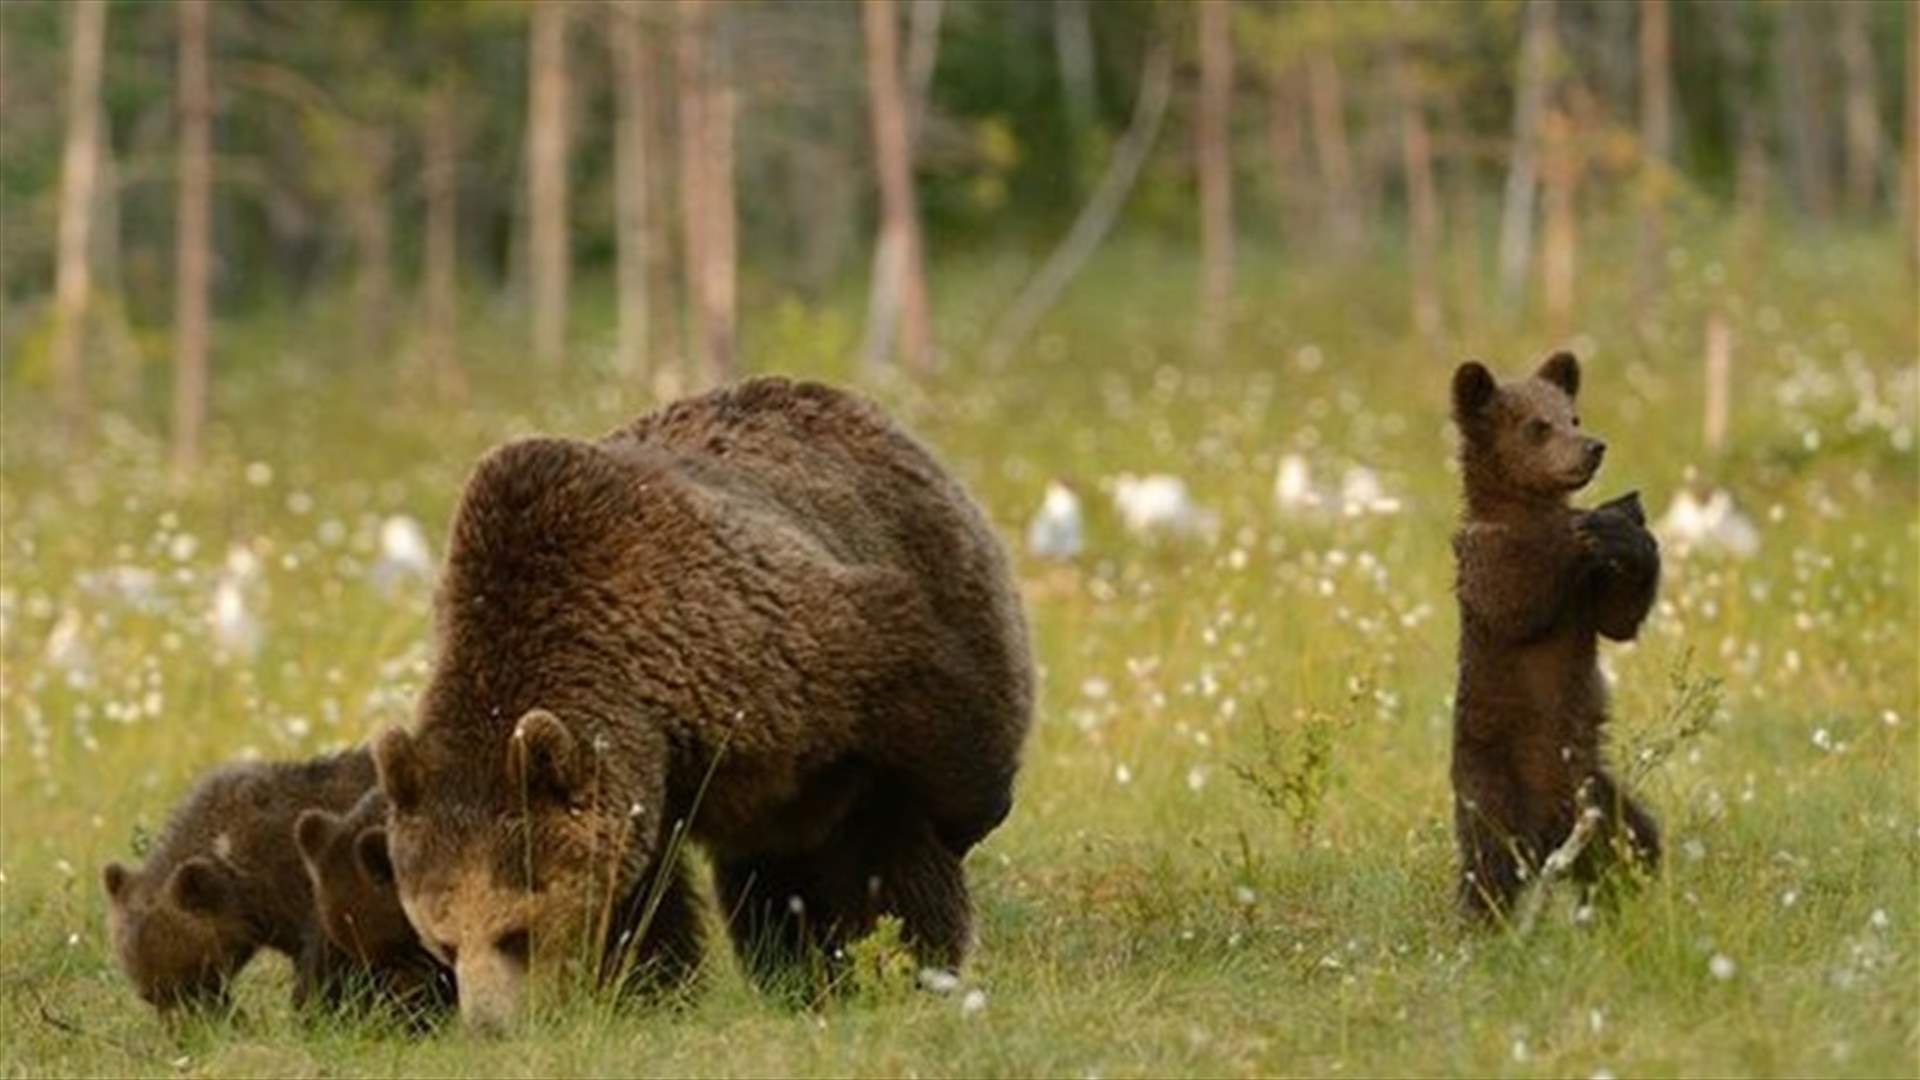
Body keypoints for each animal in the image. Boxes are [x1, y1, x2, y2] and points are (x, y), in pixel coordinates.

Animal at [372, 376, 1034, 1031]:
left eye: (515, 933)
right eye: (443, 941)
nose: (488, 1025)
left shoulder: (749, 644)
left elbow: (902, 667)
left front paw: (973, 812)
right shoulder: (647, 774)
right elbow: (642, 902)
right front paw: (646, 988)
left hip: (931, 560)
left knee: (894, 857)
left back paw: (907, 966)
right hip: (780, 814)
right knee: (774, 885)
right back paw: (800, 972)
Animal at [1447, 352, 1662, 919]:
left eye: (1574, 417)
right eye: (1537, 426)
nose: (1593, 446)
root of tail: (1549, 834)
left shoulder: (1587, 596)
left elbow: (1619, 616)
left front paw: (1628, 527)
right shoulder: (1486, 561)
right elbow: (1518, 600)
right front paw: (1596, 517)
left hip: (1596, 794)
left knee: (1637, 839)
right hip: (1492, 774)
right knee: (1489, 860)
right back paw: (1483, 918)